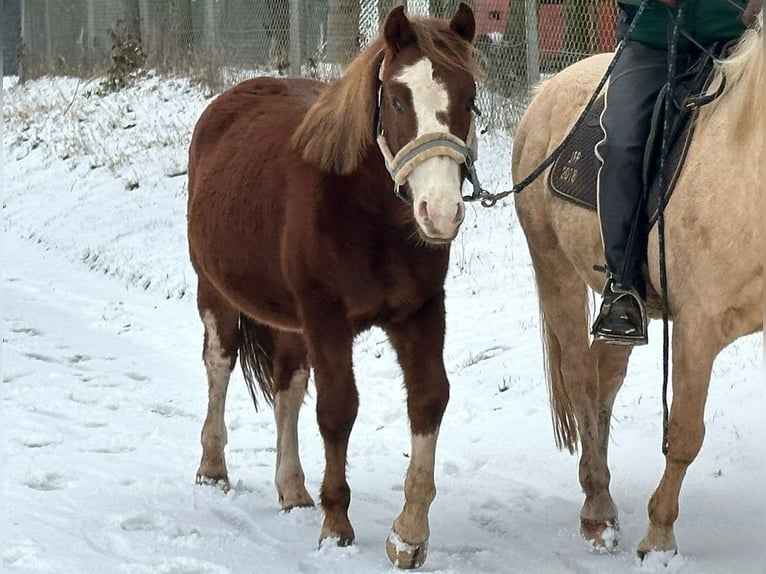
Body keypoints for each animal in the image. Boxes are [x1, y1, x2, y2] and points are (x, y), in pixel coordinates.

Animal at [188, 4, 480, 572]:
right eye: (397, 98)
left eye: (470, 98)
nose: (440, 212)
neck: (368, 214)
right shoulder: (326, 317)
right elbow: (338, 409)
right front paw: (336, 525)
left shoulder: (420, 313)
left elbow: (429, 399)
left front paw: (409, 534)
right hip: (215, 290)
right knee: (219, 364)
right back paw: (213, 468)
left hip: (289, 320)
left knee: (287, 386)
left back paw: (293, 489)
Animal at [512, 11, 764, 564]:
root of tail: (546, 90)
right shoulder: (696, 330)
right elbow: (686, 432)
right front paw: (659, 536)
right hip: (555, 271)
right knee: (581, 379)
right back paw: (598, 511)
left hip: (627, 307)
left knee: (604, 376)